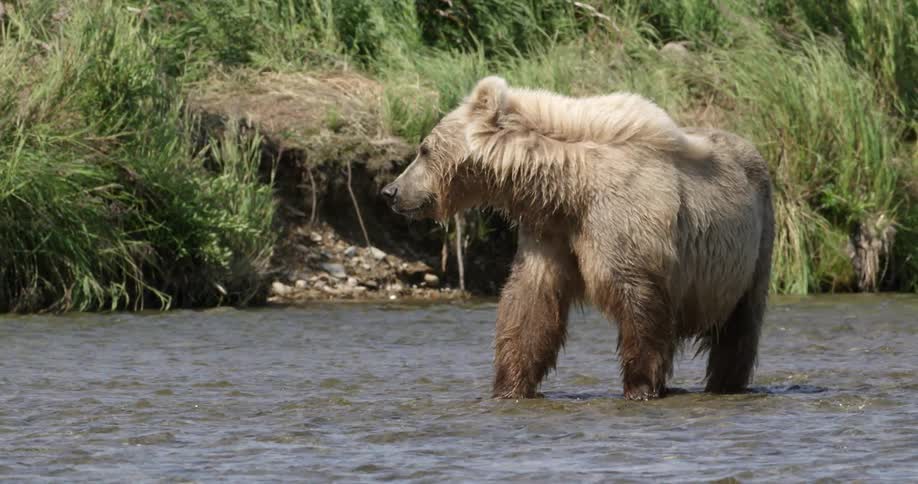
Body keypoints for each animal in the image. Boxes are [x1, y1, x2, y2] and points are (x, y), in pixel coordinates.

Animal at [381, 76, 775, 400]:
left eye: (424, 148)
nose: (391, 191)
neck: (569, 187)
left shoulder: (622, 221)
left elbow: (638, 300)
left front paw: (639, 386)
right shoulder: (550, 231)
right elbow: (530, 302)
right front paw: (508, 385)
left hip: (752, 245)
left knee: (740, 326)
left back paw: (726, 383)